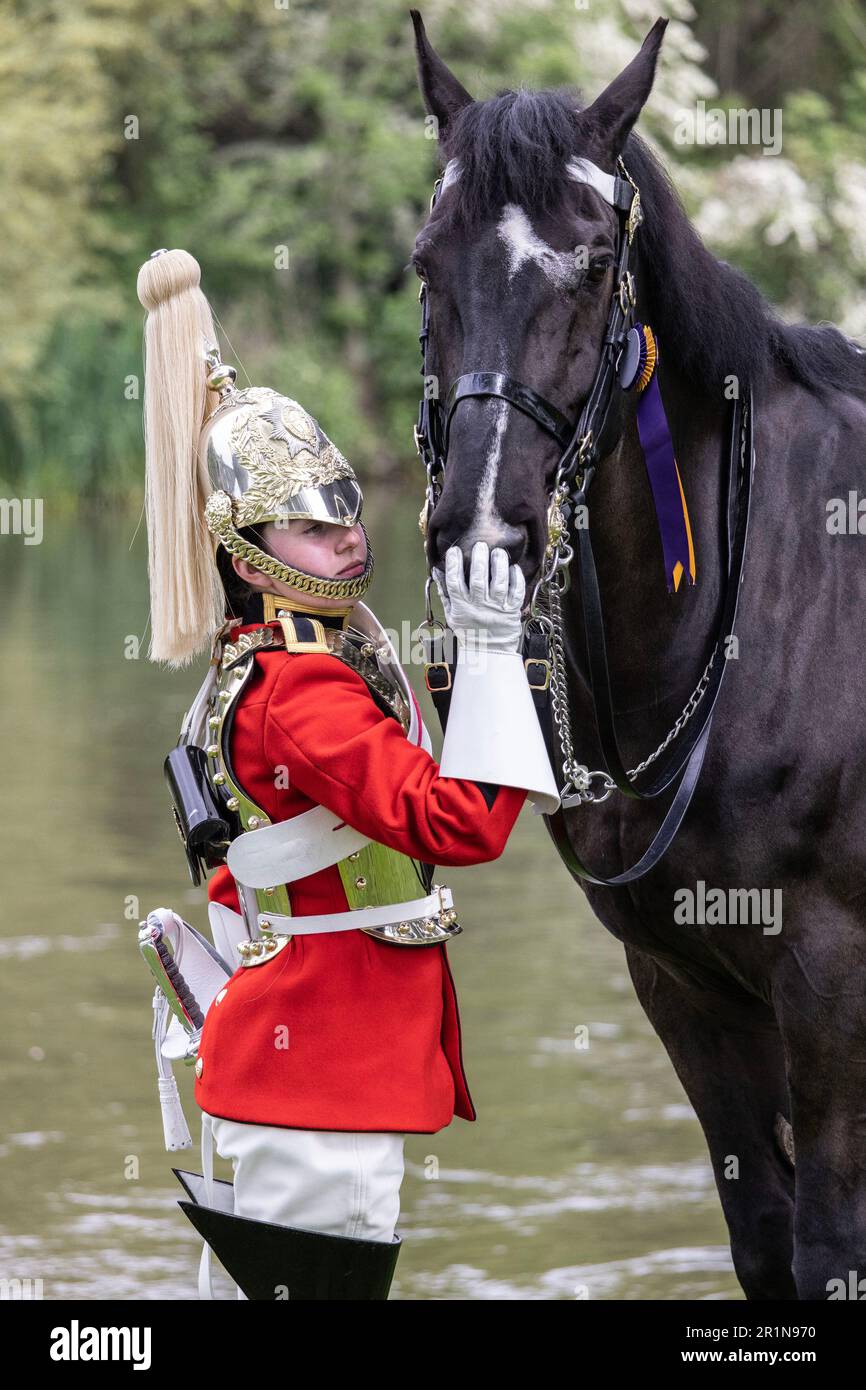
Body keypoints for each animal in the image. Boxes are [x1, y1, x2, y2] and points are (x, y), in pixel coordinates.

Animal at [408, 10, 866, 1295]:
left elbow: (827, 1247)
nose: (482, 529)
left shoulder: (829, 976)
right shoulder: (681, 981)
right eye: (425, 265)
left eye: (589, 268)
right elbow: (763, 1236)